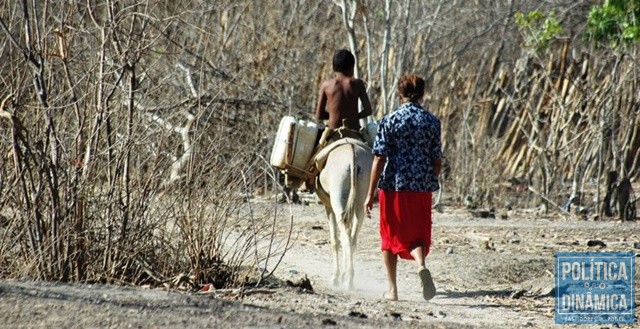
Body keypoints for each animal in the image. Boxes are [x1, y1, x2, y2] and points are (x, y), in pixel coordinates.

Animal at [314, 137, 372, 288]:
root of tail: (353, 159)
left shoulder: (328, 206)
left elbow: (334, 240)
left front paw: (335, 277)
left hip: (337, 200)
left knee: (345, 232)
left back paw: (347, 279)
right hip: (360, 202)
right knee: (352, 236)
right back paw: (348, 277)